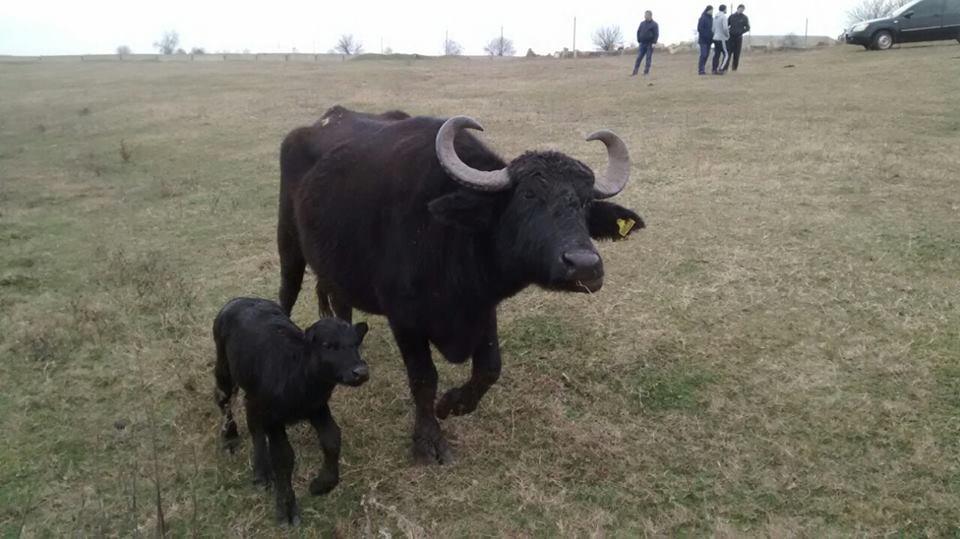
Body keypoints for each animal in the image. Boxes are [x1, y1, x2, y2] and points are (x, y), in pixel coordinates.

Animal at [214, 298, 368, 524]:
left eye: (356, 344)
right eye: (327, 345)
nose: (360, 372)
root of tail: (240, 300)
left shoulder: (317, 407)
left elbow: (332, 438)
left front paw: (322, 484)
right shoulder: (273, 418)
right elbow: (283, 457)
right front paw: (286, 508)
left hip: (253, 393)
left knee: (252, 420)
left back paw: (261, 471)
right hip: (224, 369)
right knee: (224, 400)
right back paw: (231, 439)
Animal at [278, 106, 644, 464]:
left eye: (585, 202)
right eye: (527, 196)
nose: (584, 265)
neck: (448, 238)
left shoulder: (482, 307)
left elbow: (490, 368)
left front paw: (451, 404)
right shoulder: (404, 318)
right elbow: (424, 378)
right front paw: (427, 442)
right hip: (289, 243)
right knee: (288, 291)